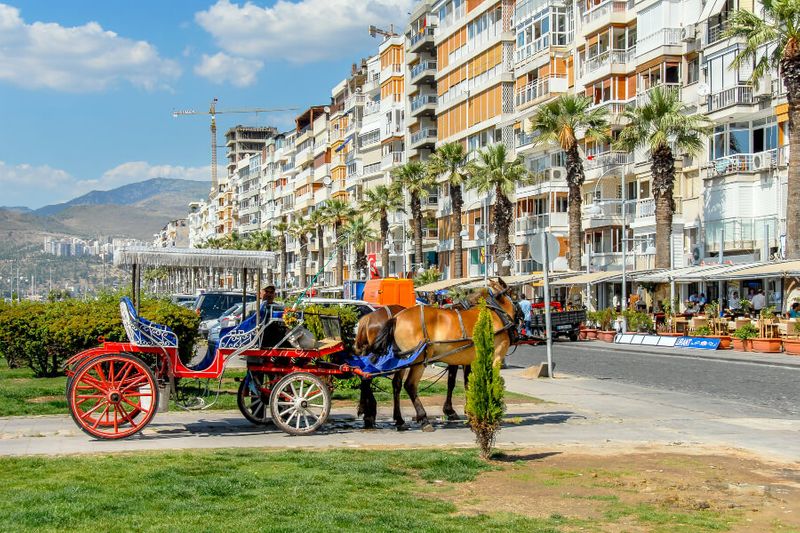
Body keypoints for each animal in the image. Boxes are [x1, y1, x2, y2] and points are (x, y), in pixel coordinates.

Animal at [368, 278, 516, 432]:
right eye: (514, 294)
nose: (521, 316)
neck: (495, 312)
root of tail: (396, 318)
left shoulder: (467, 360)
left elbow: (465, 383)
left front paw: (469, 412)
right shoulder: (496, 356)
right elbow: (488, 382)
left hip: (403, 359)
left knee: (396, 384)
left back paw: (400, 420)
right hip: (419, 359)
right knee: (410, 385)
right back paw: (424, 419)